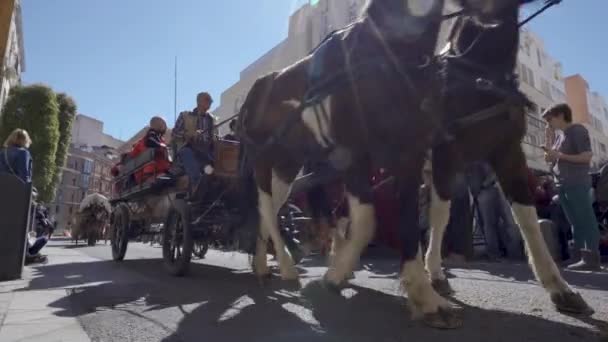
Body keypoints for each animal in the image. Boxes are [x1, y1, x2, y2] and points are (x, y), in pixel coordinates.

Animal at [420, 0, 592, 316]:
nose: (483, 12)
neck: (480, 72)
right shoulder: (445, 155)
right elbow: (441, 214)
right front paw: (435, 274)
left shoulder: (508, 150)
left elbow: (526, 215)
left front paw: (559, 287)